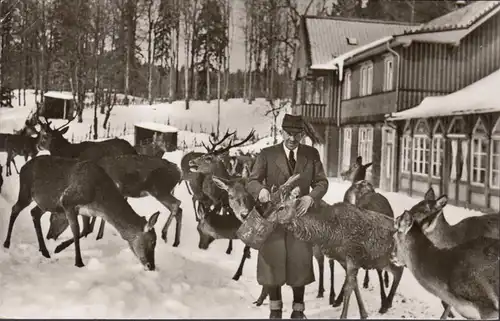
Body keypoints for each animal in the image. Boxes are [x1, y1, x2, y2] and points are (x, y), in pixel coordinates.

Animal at [2, 154, 160, 268]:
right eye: (152, 242)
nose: (151, 266)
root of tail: (23, 167)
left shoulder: (84, 211)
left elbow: (86, 230)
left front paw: (59, 248)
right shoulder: (67, 201)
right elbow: (76, 230)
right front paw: (78, 262)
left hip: (46, 203)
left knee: (34, 212)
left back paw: (44, 250)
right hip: (25, 190)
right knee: (15, 209)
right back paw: (6, 243)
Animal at [45, 152, 184, 250]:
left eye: (53, 217)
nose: (49, 236)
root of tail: (179, 172)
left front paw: (95, 234)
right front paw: (97, 234)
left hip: (159, 189)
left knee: (177, 204)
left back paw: (164, 234)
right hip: (165, 190)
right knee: (179, 209)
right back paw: (176, 242)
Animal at [256, 178, 404, 318]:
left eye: (281, 207)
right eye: (270, 203)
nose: (264, 217)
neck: (331, 233)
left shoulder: (353, 255)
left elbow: (349, 287)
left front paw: (343, 315)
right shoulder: (344, 259)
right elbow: (354, 285)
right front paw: (363, 313)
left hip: (383, 257)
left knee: (398, 270)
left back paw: (386, 304)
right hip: (380, 259)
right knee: (397, 271)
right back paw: (386, 303)